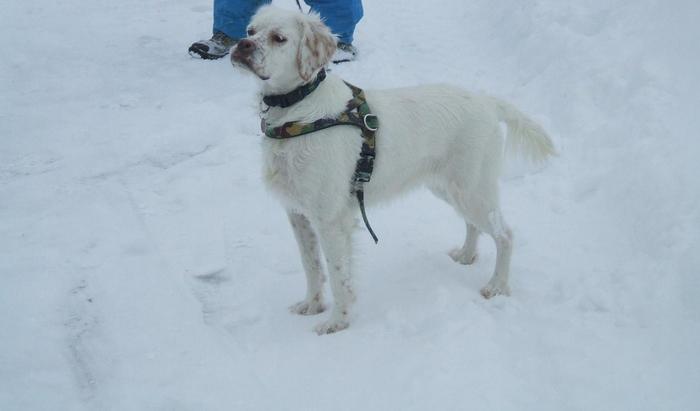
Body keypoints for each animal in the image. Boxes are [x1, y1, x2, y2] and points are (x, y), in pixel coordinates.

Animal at [232, 6, 556, 334]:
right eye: (250, 31)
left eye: (279, 38)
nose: (242, 46)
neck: (298, 113)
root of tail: (488, 102)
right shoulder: (298, 214)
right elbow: (311, 266)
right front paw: (311, 305)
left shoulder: (331, 219)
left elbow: (338, 275)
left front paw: (337, 322)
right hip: (452, 188)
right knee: (473, 225)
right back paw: (466, 255)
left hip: (473, 190)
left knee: (505, 234)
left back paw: (497, 285)